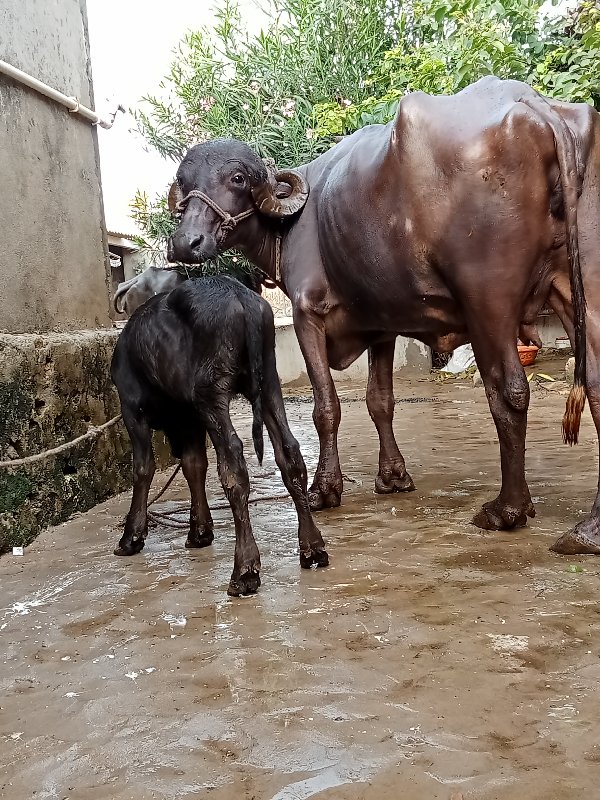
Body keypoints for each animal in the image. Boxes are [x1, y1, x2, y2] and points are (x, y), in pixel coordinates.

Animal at [112, 276, 328, 592]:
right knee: (289, 452)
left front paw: (131, 537)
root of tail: (240, 296)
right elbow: (194, 465)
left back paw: (245, 571)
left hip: (211, 393)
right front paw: (200, 531)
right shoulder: (189, 418)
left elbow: (143, 468)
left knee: (233, 461)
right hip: (267, 381)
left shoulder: (132, 408)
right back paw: (312, 548)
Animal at [166, 76, 600, 556]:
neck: (289, 224)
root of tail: (535, 106)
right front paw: (393, 475)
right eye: (183, 182)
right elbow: (380, 401)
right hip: (580, 287)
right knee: (596, 381)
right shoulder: (381, 326)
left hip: (488, 301)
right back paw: (589, 529)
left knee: (508, 390)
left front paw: (325, 488)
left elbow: (327, 407)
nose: (186, 242)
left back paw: (508, 508)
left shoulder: (306, 316)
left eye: (237, 178)